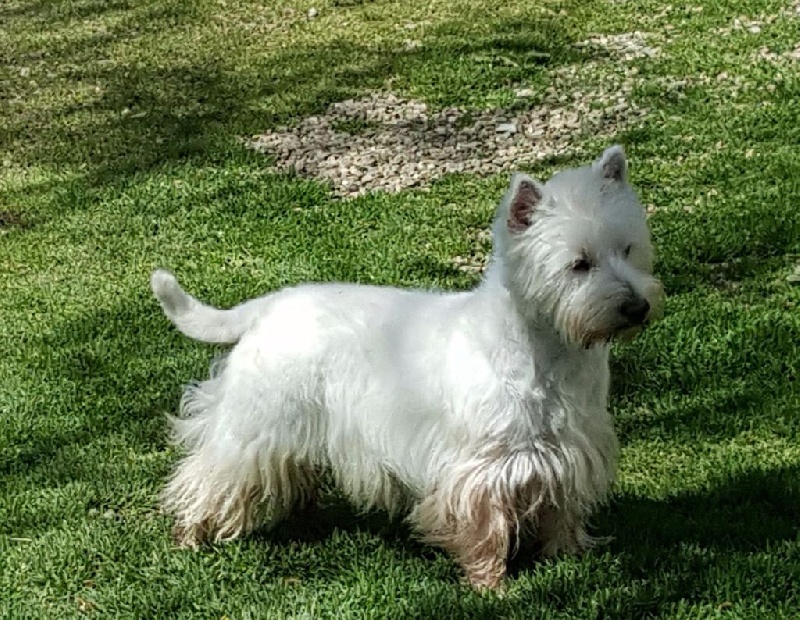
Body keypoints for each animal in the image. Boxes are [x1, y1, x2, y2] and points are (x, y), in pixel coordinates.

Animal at [150, 145, 664, 590]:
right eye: (579, 264)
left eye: (628, 249)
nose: (636, 307)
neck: (549, 352)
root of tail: (268, 306)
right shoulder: (480, 466)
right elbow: (485, 526)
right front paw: (490, 585)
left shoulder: (569, 449)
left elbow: (562, 509)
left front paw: (567, 557)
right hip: (254, 427)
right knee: (207, 475)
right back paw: (189, 536)